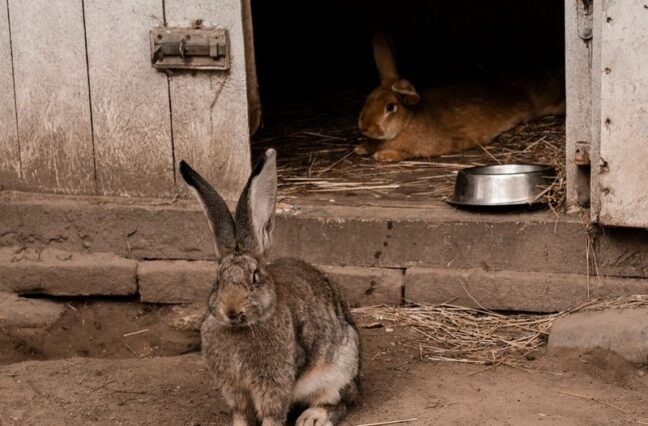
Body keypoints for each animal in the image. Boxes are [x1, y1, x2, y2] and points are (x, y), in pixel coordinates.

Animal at [178, 149, 360, 426]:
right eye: (218, 280)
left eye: (255, 277)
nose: (231, 311)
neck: (243, 328)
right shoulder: (234, 389)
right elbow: (241, 413)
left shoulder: (273, 384)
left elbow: (272, 414)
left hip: (338, 370)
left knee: (339, 402)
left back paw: (312, 418)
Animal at [356, 33, 565, 163]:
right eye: (368, 98)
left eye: (390, 107)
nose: (364, 127)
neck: (408, 122)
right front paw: (361, 148)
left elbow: (406, 153)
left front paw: (384, 155)